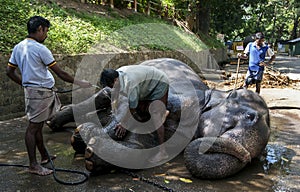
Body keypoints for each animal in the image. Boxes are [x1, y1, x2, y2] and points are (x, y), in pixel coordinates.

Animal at [48, 57, 270, 179]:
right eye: (249, 116)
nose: (248, 157)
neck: (212, 95)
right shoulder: (185, 101)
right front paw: (88, 135)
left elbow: (138, 148)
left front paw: (90, 150)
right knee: (105, 93)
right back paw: (58, 123)